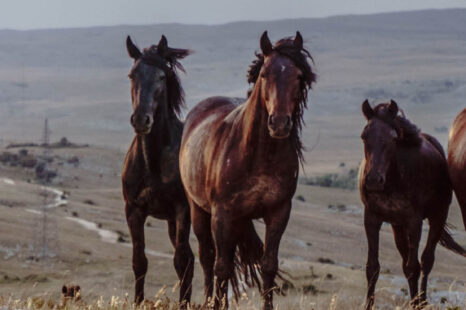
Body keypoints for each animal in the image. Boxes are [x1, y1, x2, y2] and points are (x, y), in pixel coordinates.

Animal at [122, 35, 195, 306]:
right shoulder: (134, 211)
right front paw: (137, 302)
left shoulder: (183, 210)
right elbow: (139, 262)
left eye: (162, 77)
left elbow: (181, 261)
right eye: (132, 75)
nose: (141, 120)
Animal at [179, 32, 316, 310]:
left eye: (298, 75)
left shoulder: (278, 212)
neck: (259, 156)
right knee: (208, 258)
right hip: (199, 210)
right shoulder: (223, 214)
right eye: (264, 73)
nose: (280, 123)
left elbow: (268, 265)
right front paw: (217, 304)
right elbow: (221, 267)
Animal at [358, 100, 464, 308]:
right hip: (398, 227)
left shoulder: (414, 222)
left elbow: (414, 266)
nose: (373, 180)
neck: (394, 178)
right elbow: (372, 267)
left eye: (393, 138)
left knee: (426, 260)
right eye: (364, 136)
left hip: (437, 218)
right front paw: (367, 305)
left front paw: (417, 303)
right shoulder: (372, 219)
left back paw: (421, 301)